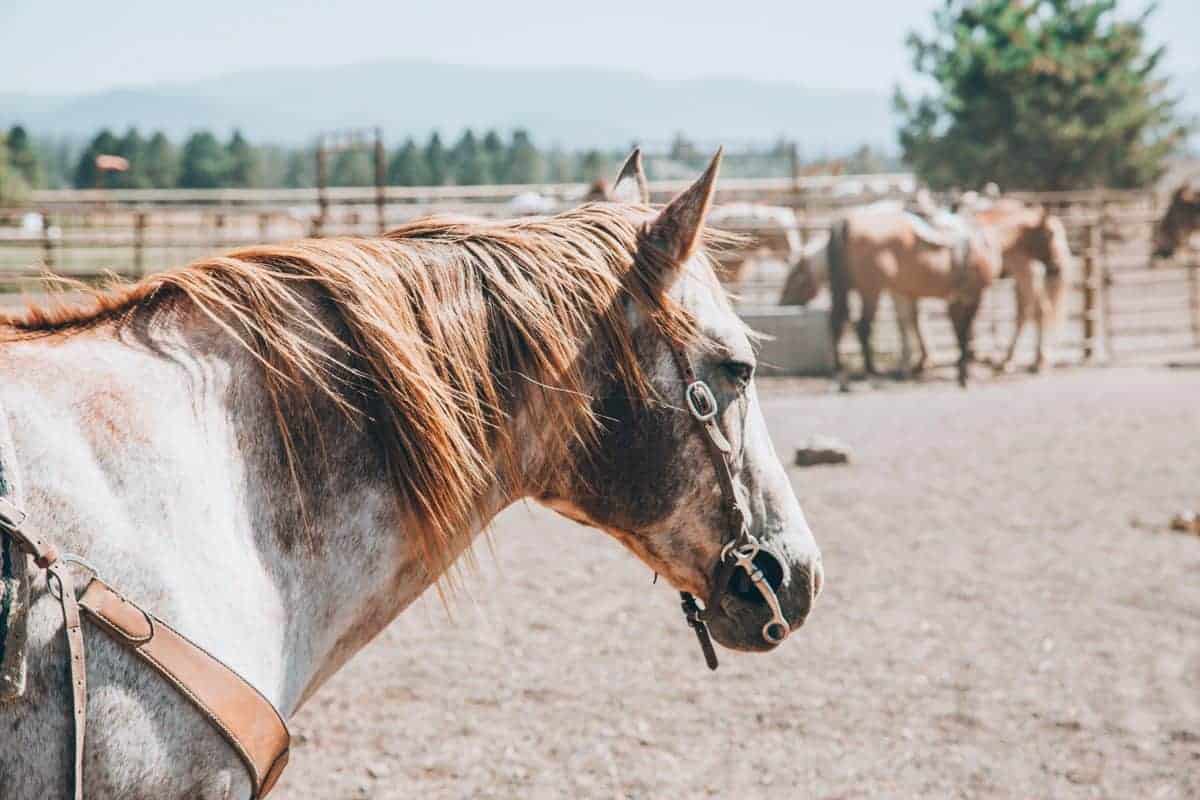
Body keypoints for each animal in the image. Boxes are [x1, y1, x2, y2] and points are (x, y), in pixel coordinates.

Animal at [772, 206, 998, 388]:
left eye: (794, 278)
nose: (781, 303)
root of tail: (847, 223)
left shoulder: (905, 293)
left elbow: (909, 324)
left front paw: (911, 368)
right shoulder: (967, 297)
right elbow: (959, 332)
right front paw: (960, 374)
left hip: (850, 290)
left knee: (838, 322)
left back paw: (843, 375)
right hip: (871, 290)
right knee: (862, 326)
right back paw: (871, 373)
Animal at [974, 200, 1080, 376]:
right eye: (1050, 234)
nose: (1056, 266)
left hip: (1027, 274)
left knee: (1038, 312)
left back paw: (1036, 362)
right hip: (1023, 278)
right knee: (1027, 314)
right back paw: (1013, 360)